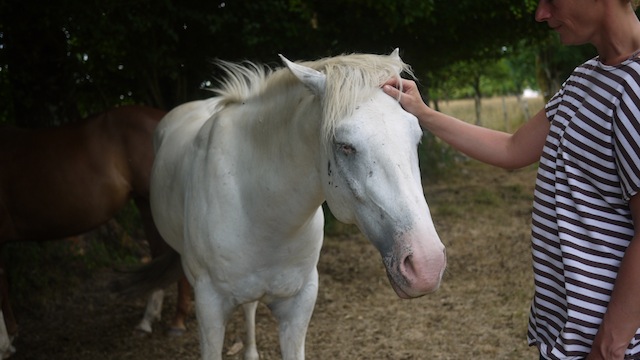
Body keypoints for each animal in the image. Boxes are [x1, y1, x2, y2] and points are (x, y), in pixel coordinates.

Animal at [147, 49, 444, 358]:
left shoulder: (299, 303)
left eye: (417, 136)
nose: (427, 265)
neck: (261, 212)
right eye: (344, 146)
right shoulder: (210, 308)